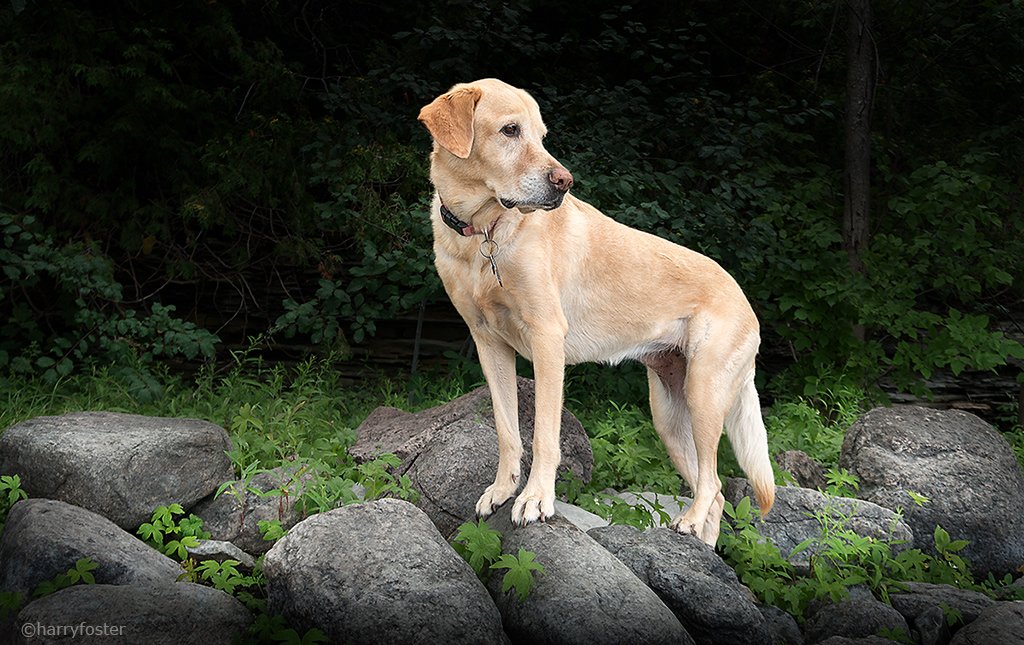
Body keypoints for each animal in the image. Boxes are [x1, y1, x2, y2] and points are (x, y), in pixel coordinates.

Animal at [419, 78, 770, 548]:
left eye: (541, 136)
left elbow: (544, 436)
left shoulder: (548, 340)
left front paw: (535, 500)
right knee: (712, 495)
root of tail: (744, 298)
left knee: (713, 484)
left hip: (704, 396)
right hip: (670, 418)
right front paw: (501, 490)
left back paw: (689, 523)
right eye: (510, 130)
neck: (484, 233)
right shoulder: (488, 344)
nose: (564, 182)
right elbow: (508, 431)